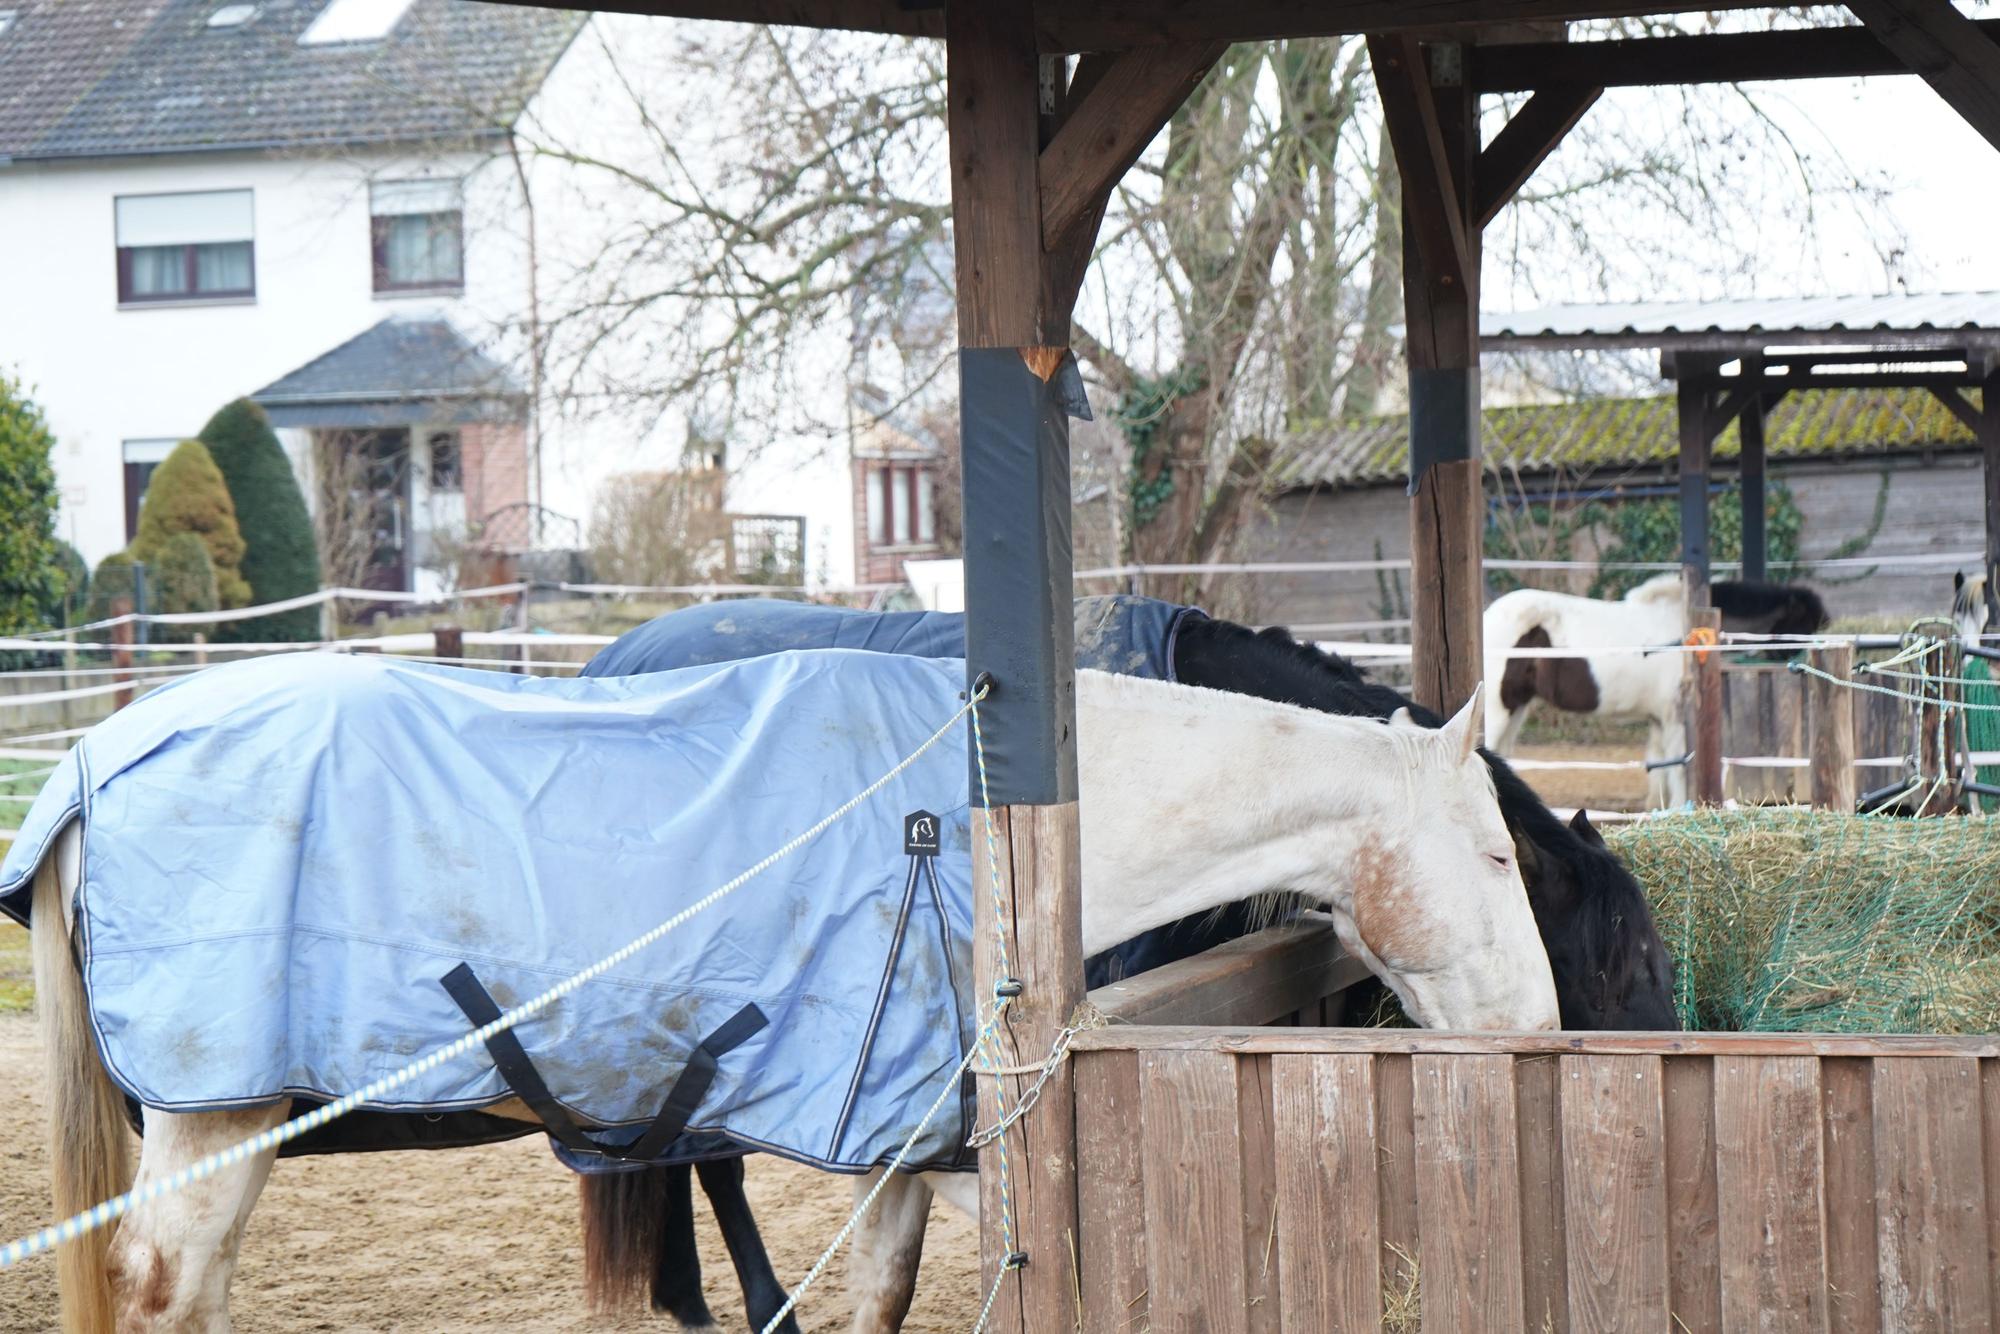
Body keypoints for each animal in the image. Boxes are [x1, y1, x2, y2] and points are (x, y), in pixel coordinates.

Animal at [15, 652, 1557, 1333]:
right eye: (1496, 852)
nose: (1544, 1033)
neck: (973, 826)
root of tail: (96, 760)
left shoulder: (903, 1155)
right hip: (214, 1122)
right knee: (163, 1290)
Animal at [1484, 574, 1828, 808]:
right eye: (1801, 625)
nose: (1803, 664)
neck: (1687, 634)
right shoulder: (1674, 717)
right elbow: (1676, 768)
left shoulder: (1659, 720)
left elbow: (1660, 765)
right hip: (1499, 709)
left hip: (1516, 708)